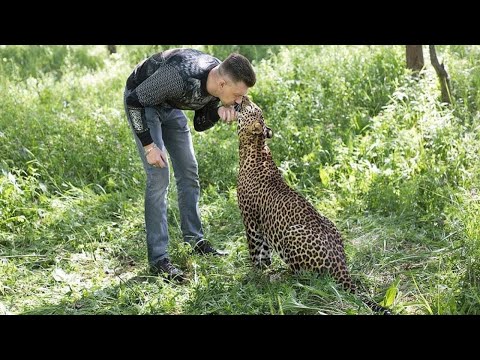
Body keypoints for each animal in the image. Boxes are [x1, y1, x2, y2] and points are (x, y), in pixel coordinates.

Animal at [235, 95, 390, 316]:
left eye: (250, 107)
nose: (244, 96)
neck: (254, 147)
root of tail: (341, 266)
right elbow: (264, 253)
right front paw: (264, 270)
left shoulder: (251, 221)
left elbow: (255, 251)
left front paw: (255, 275)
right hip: (329, 222)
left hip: (291, 234)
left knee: (304, 277)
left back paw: (282, 277)